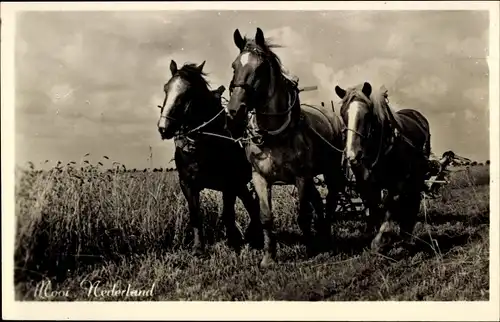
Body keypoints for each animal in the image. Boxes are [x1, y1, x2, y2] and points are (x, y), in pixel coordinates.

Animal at [158, 59, 264, 256]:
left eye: (189, 92)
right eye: (166, 88)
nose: (164, 127)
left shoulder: (229, 184)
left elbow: (228, 215)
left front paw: (234, 243)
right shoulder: (187, 183)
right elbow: (195, 215)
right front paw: (198, 248)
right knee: (252, 205)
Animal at [225, 28, 346, 270]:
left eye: (260, 68)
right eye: (234, 66)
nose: (235, 110)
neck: (274, 136)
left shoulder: (301, 176)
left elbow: (303, 215)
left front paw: (310, 250)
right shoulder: (259, 177)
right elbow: (265, 217)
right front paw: (268, 258)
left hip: (331, 171)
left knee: (330, 200)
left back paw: (326, 238)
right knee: (318, 201)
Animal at [334, 82, 432, 250]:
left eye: (367, 114)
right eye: (343, 114)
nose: (353, 154)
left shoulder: (397, 182)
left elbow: (389, 205)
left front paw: (381, 238)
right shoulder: (365, 183)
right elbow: (372, 206)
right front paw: (369, 233)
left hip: (417, 176)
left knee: (413, 200)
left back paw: (406, 235)